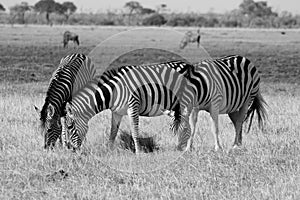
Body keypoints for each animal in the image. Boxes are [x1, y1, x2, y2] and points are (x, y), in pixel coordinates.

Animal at [62, 60, 196, 152]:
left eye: (69, 127)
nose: (70, 149)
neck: (114, 91)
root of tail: (188, 65)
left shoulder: (133, 106)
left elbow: (134, 130)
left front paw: (138, 152)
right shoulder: (116, 112)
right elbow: (113, 131)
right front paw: (108, 150)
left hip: (186, 102)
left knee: (189, 124)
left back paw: (186, 148)